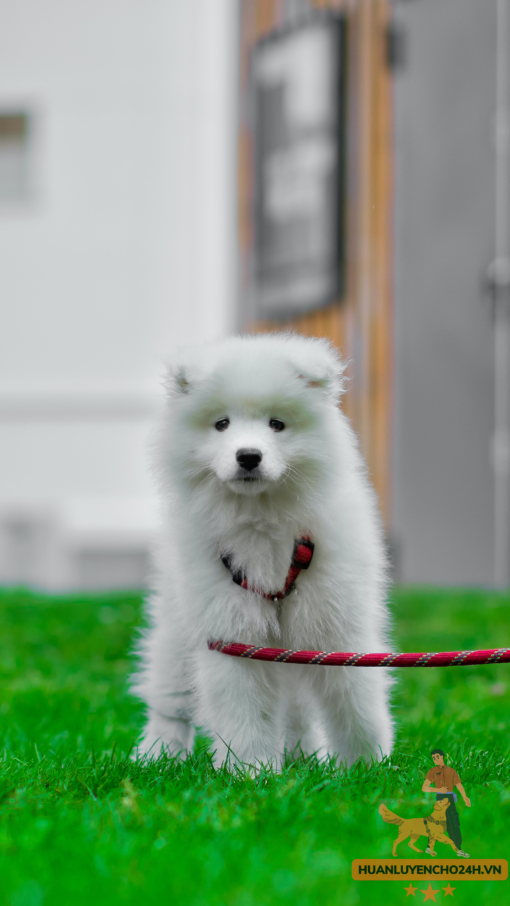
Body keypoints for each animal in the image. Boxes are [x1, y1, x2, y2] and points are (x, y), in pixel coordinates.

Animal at [132, 334, 394, 768]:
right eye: (222, 424)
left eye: (277, 424)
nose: (249, 455)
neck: (262, 519)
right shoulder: (232, 631)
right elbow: (245, 712)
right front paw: (252, 771)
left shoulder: (336, 622)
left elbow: (354, 701)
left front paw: (368, 766)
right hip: (178, 627)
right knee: (171, 702)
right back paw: (157, 754)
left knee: (297, 712)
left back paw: (305, 756)